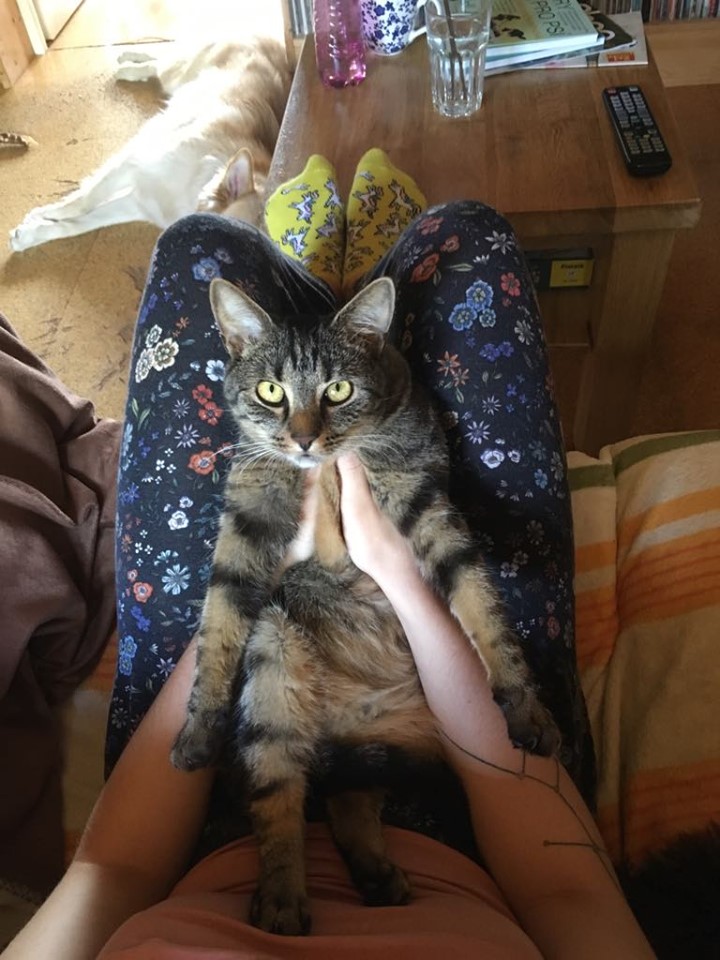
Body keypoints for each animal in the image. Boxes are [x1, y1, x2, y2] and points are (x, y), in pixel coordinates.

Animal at [8, 37, 292, 252]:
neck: (193, 187)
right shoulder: (133, 162)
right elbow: (83, 201)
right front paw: (46, 212)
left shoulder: (137, 202)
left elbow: (79, 225)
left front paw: (33, 233)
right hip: (180, 72)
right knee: (162, 61)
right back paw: (129, 64)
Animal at [170, 275, 561, 936]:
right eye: (271, 391)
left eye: (338, 389)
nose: (303, 438)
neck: (328, 467)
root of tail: (347, 723)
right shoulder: (248, 519)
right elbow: (218, 623)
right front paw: (198, 728)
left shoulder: (422, 501)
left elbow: (480, 600)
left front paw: (525, 701)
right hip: (273, 655)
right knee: (281, 800)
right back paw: (282, 901)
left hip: (395, 746)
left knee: (348, 799)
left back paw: (374, 877)